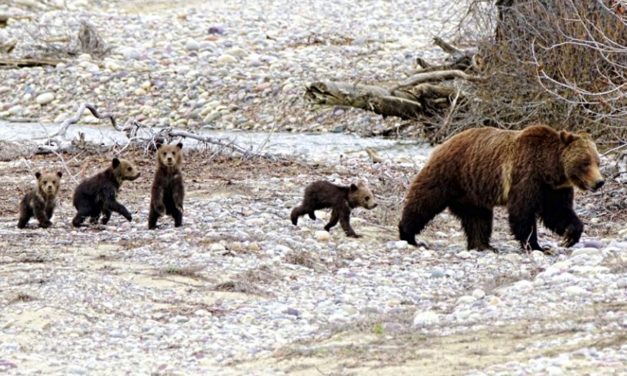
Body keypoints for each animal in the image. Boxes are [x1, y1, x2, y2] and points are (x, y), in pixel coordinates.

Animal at [400, 125, 604, 251]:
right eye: (585, 162)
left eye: (597, 161)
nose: (599, 182)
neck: (550, 170)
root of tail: (444, 143)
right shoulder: (527, 176)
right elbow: (523, 212)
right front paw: (536, 245)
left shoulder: (554, 190)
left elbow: (558, 212)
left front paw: (570, 236)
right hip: (449, 174)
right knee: (424, 201)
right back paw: (408, 235)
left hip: (472, 192)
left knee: (478, 218)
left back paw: (483, 245)